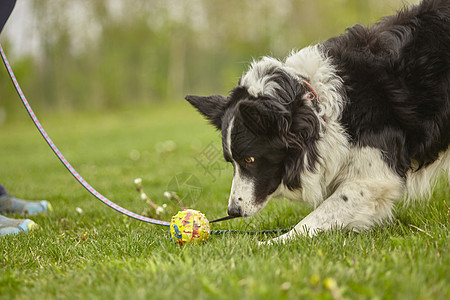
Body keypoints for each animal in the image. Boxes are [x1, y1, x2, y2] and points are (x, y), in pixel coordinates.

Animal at [185, 0, 448, 244]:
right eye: (231, 162)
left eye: (250, 160)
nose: (233, 211)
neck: (315, 106)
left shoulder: (376, 175)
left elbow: (320, 214)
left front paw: (273, 242)